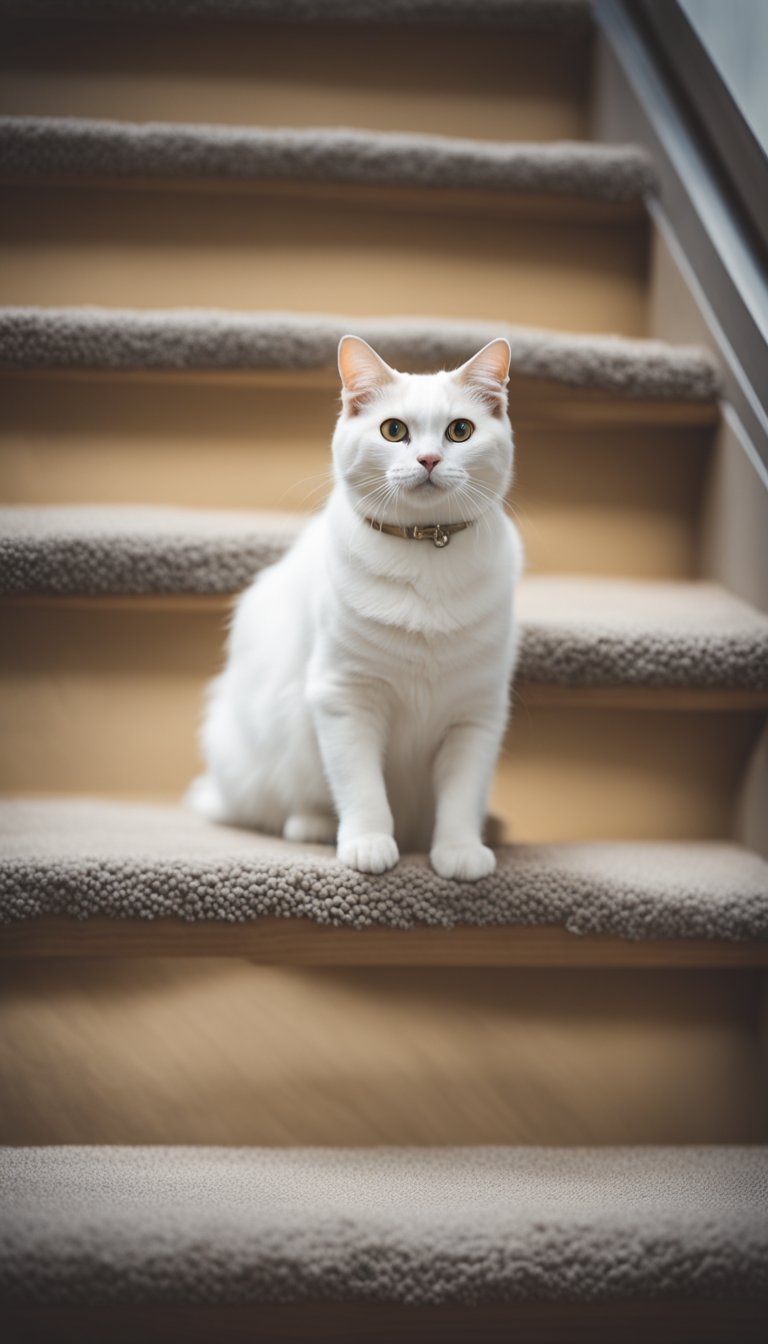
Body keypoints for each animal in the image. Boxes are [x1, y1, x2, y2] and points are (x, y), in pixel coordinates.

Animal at [188, 336, 521, 881]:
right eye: (393, 430)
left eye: (460, 430)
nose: (429, 459)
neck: (426, 549)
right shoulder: (345, 698)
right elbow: (362, 788)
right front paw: (368, 843)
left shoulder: (477, 713)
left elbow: (460, 796)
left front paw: (459, 850)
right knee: (281, 806)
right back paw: (314, 825)